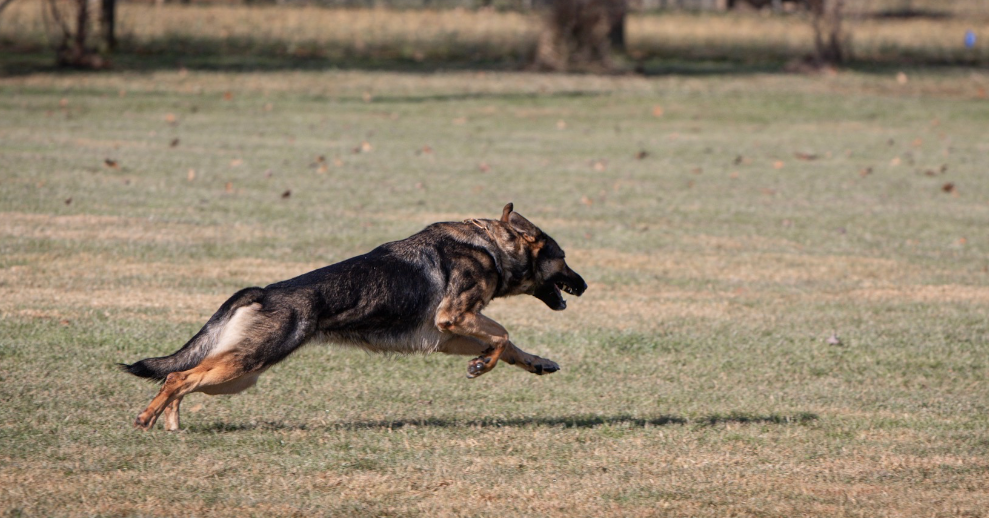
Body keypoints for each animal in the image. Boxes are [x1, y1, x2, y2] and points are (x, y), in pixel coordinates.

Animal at [123, 205, 588, 432]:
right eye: (563, 258)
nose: (585, 285)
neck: (491, 245)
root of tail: (264, 291)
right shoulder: (453, 319)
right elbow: (503, 335)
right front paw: (481, 366)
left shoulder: (448, 336)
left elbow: (509, 344)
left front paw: (535, 363)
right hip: (245, 366)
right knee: (178, 377)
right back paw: (147, 419)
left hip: (237, 374)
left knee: (184, 378)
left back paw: (171, 424)